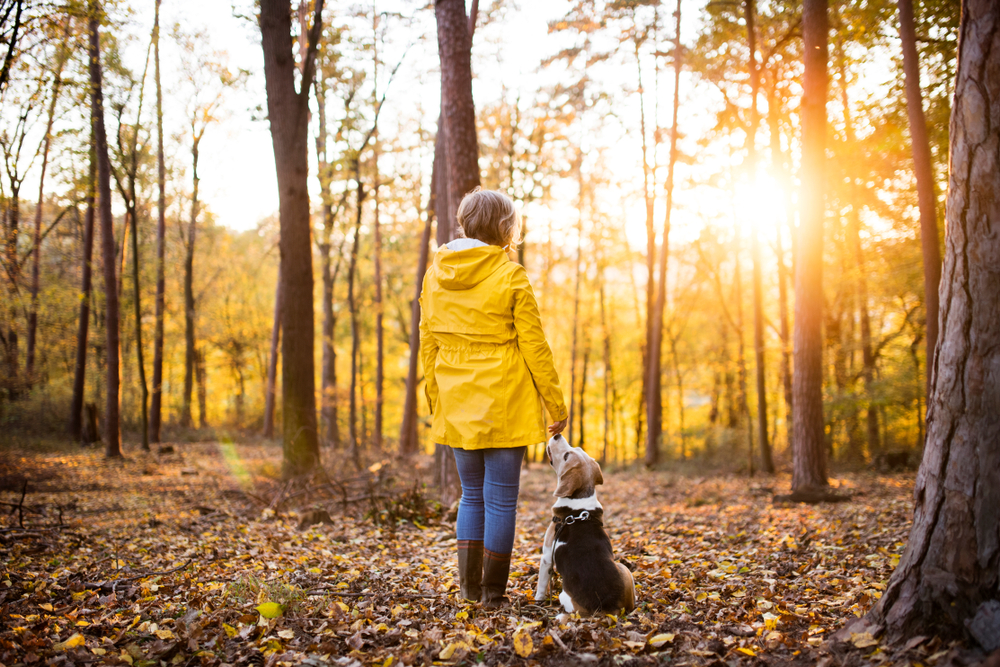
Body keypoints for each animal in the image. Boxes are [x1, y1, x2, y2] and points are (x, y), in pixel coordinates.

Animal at [536, 436, 636, 620]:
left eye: (567, 456)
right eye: (578, 448)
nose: (557, 435)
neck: (579, 501)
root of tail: (608, 608)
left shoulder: (546, 557)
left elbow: (541, 585)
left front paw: (538, 600)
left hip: (564, 596)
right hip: (625, 570)